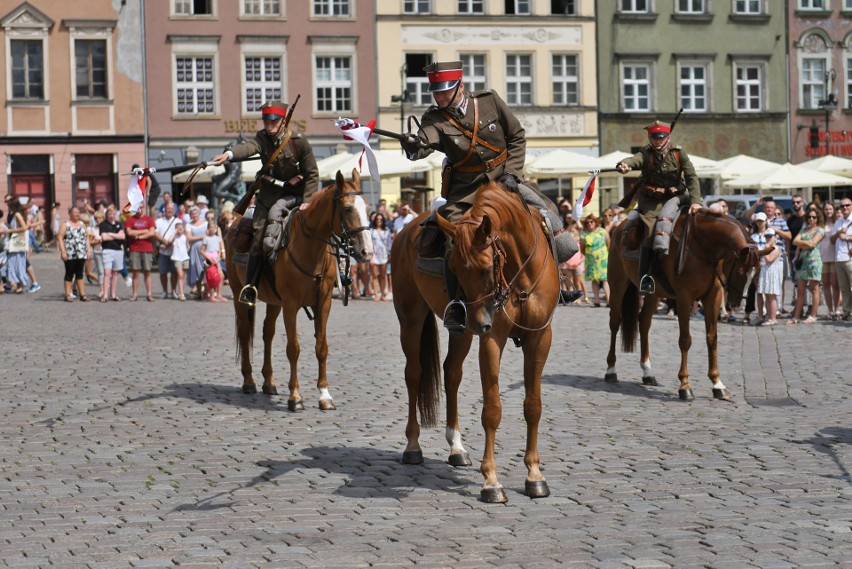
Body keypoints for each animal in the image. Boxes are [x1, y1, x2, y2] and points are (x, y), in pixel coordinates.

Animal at [223, 169, 372, 408]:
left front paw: (324, 395)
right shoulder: (291, 305)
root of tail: (235, 223)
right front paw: (295, 396)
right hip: (240, 294)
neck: (310, 247)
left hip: (274, 301)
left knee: (267, 333)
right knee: (245, 332)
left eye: (367, 208)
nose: (367, 251)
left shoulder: (324, 303)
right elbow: (293, 349)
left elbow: (321, 347)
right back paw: (249, 381)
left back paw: (269, 382)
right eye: (347, 209)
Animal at [392, 183, 560, 502]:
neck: (518, 275)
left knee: (451, 372)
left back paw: (456, 447)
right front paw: (491, 481)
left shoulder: (540, 337)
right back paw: (412, 446)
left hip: (462, 335)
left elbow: (533, 406)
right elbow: (492, 409)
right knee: (414, 374)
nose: (475, 320)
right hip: (412, 319)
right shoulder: (492, 338)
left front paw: (535, 475)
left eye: (485, 268)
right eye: (454, 268)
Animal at [604, 211, 760, 402]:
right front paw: (685, 385)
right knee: (614, 323)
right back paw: (611, 370)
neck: (703, 247)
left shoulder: (713, 297)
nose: (737, 303)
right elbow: (685, 340)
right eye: (740, 272)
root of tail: (620, 225)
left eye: (756, 273)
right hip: (618, 285)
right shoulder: (684, 298)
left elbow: (712, 338)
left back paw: (648, 372)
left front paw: (717, 384)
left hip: (654, 294)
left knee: (644, 321)